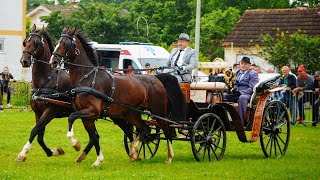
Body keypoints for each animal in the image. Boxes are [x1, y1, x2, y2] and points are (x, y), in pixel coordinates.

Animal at [16, 25, 81, 162]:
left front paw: (22, 154)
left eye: (36, 42)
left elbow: (34, 130)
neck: (46, 80)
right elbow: (39, 136)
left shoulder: (49, 112)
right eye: (25, 42)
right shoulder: (38, 113)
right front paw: (53, 151)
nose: (24, 61)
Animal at [49, 27, 186, 166]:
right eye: (58, 41)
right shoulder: (87, 117)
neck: (87, 78)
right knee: (145, 129)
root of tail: (156, 78)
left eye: (66, 43)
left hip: (158, 111)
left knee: (166, 130)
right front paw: (98, 160)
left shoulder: (92, 111)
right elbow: (94, 137)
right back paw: (134, 151)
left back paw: (169, 156)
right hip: (132, 113)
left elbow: (71, 118)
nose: (53, 61)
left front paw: (75, 144)